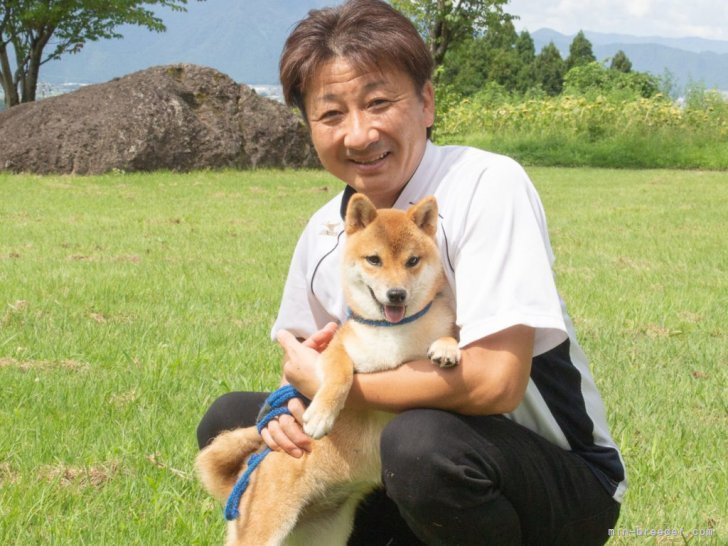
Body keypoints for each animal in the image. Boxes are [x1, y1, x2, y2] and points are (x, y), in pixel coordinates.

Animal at [195, 193, 460, 540]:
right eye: (374, 260)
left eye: (412, 261)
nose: (396, 294)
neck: (393, 333)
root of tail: (245, 472)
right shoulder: (334, 347)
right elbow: (340, 373)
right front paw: (321, 414)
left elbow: (450, 334)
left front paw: (446, 348)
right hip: (266, 529)